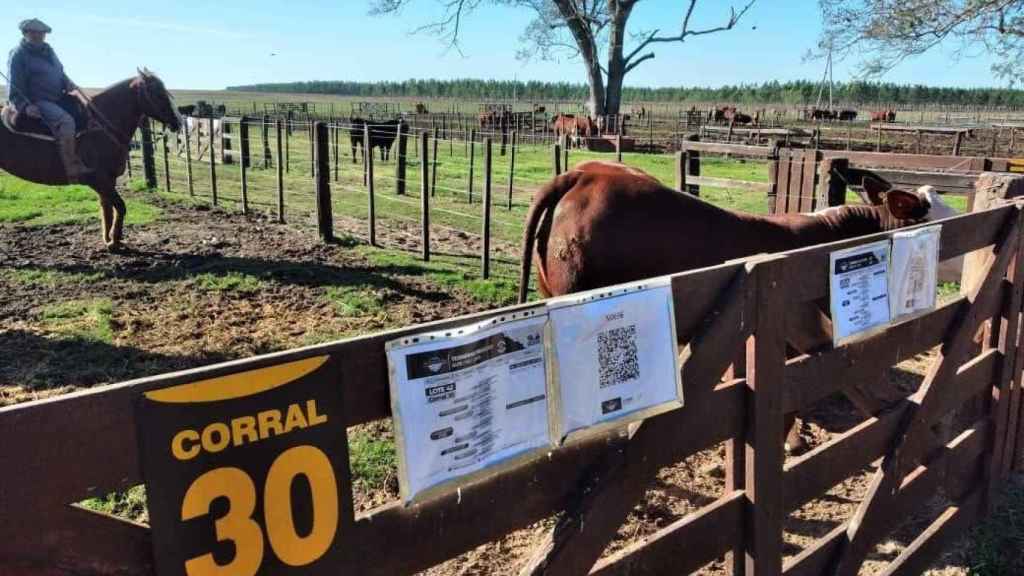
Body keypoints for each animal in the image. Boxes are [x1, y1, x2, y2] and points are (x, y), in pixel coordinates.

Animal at [0, 68, 182, 248]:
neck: (101, 127)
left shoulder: (109, 179)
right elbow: (120, 206)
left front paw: (108, 239)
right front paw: (114, 241)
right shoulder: (98, 179)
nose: (178, 122)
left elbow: (107, 209)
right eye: (158, 93)